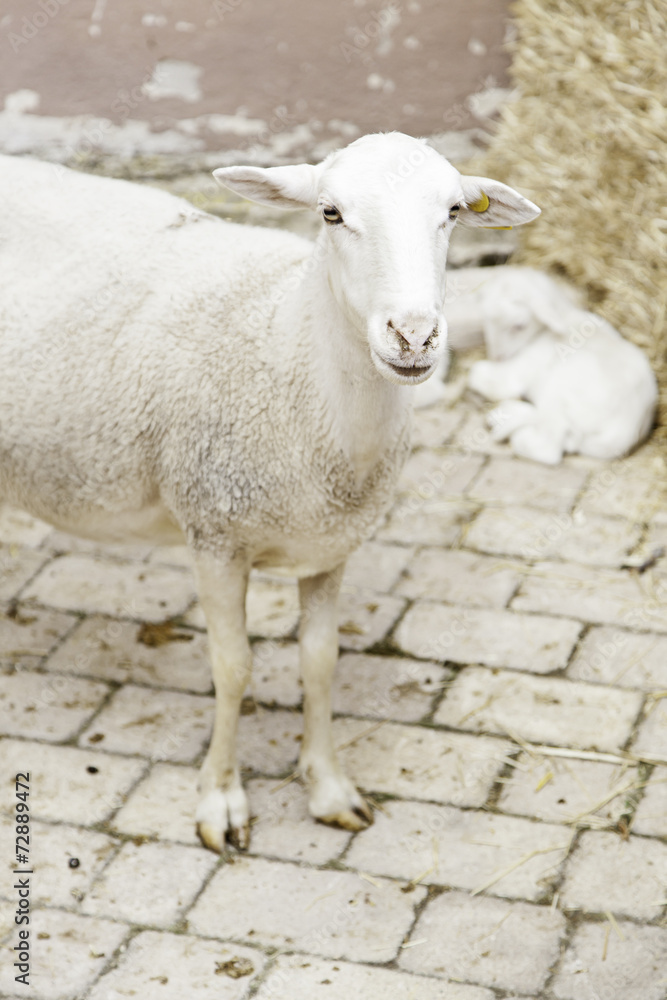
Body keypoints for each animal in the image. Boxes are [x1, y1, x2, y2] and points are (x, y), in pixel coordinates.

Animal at [0, 134, 540, 852]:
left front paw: (328, 788)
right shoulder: (214, 533)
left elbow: (320, 662)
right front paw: (221, 800)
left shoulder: (330, 546)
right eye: (330, 213)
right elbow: (233, 667)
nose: (413, 336)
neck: (292, 349)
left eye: (453, 211)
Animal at [456, 267, 657, 464]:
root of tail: (623, 432)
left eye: (519, 326)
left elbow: (486, 378)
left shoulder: (524, 366)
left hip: (558, 388)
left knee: (550, 445)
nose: (497, 357)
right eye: (486, 320)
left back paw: (515, 432)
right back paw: (505, 416)